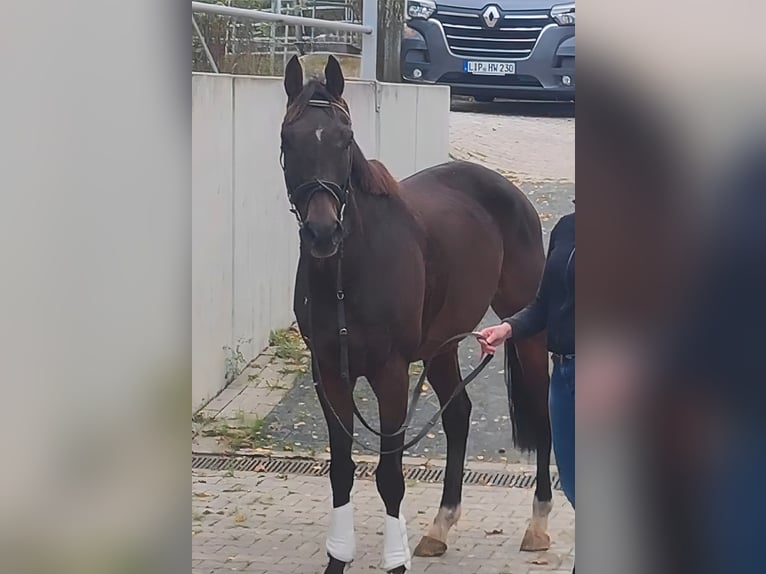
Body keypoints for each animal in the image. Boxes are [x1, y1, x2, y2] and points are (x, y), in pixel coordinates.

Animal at [280, 55, 553, 574]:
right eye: (289, 139)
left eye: (345, 138)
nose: (323, 233)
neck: (348, 273)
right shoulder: (329, 374)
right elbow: (342, 469)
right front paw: (337, 559)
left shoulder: (389, 374)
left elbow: (389, 473)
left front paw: (395, 562)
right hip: (442, 346)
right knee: (458, 414)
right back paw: (440, 527)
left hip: (525, 327)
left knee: (543, 408)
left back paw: (539, 522)